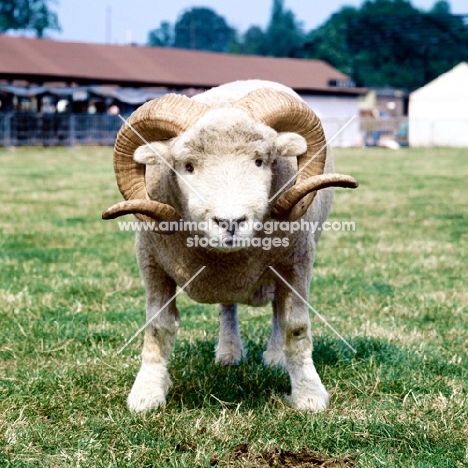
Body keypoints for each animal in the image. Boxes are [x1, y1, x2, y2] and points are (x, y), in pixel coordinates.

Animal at [103, 80, 358, 414]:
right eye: (187, 166)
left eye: (260, 160)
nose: (231, 222)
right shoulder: (152, 265)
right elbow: (159, 328)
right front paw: (147, 393)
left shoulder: (297, 262)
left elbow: (295, 326)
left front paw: (308, 394)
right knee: (227, 307)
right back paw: (229, 352)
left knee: (277, 311)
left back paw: (275, 357)